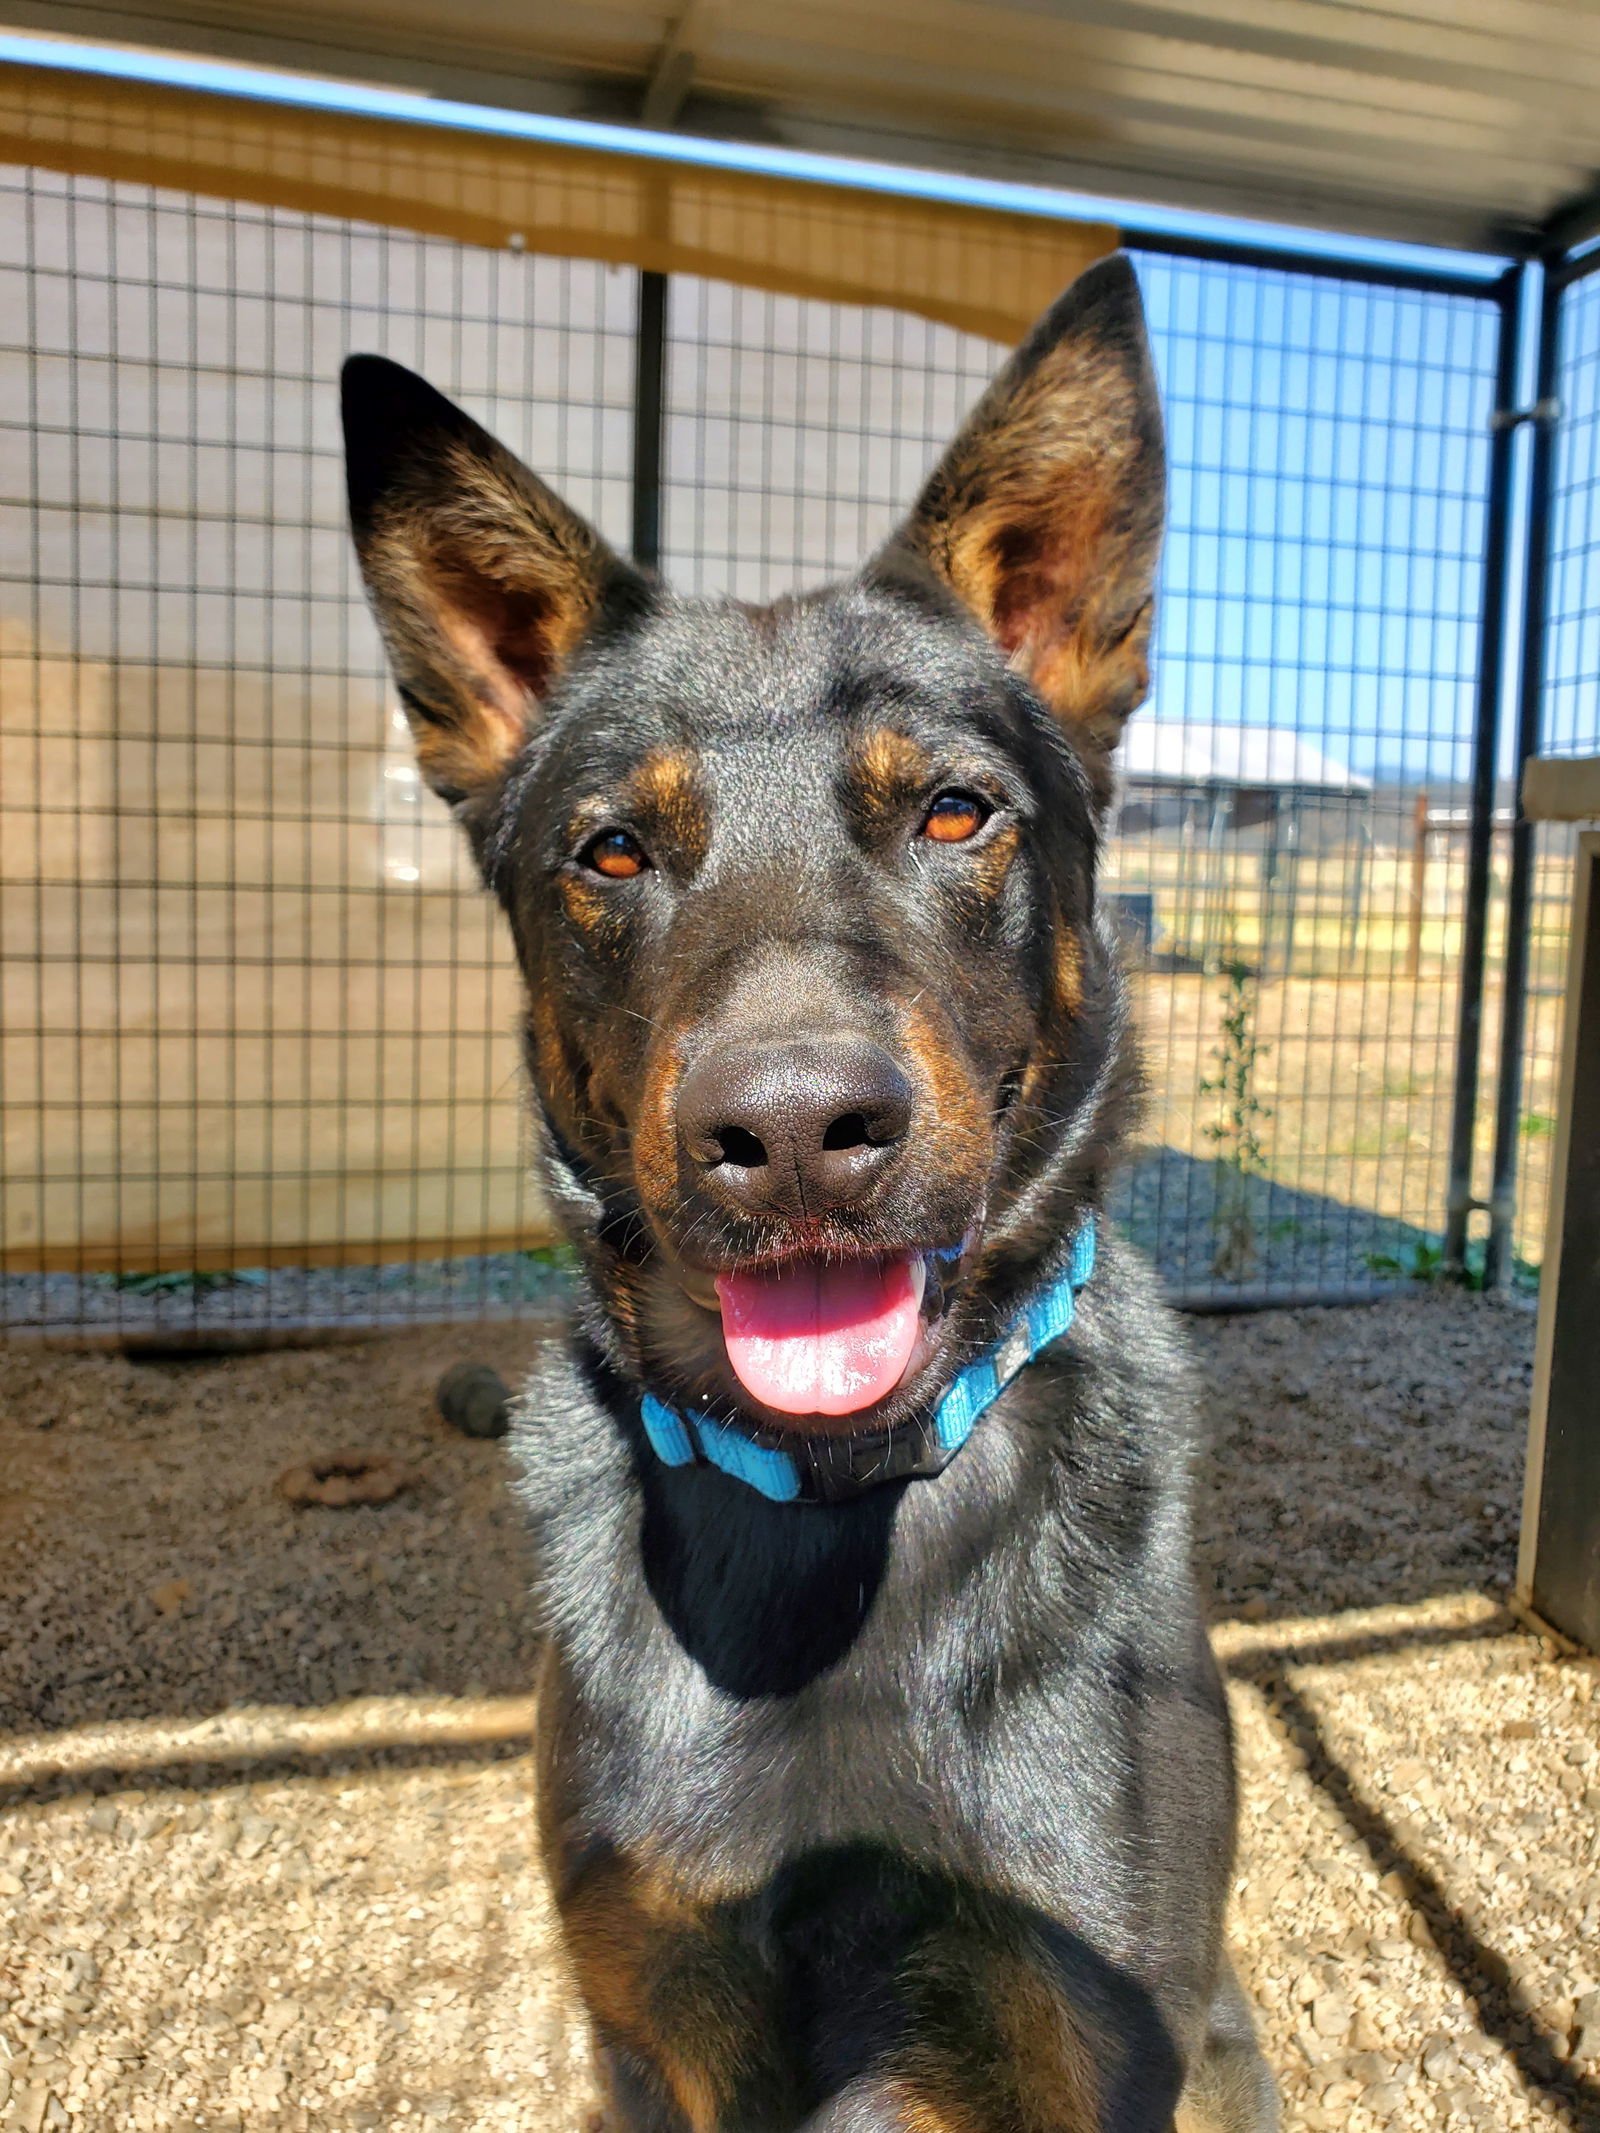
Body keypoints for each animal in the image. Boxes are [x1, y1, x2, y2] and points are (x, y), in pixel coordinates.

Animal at [339, 253, 1280, 2133]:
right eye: (611, 850)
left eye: (955, 813)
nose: (787, 1132)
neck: (837, 1501)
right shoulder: (651, 2022)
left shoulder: (1095, 2017)